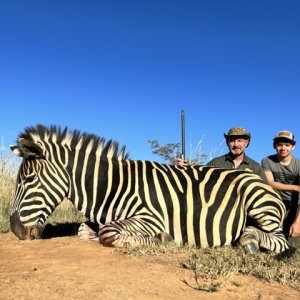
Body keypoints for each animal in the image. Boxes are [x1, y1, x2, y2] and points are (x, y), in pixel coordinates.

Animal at [9, 124, 290, 253]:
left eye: (28, 180)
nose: (14, 230)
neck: (112, 186)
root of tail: (261, 181)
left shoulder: (150, 218)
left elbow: (108, 234)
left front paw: (162, 238)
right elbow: (82, 230)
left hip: (259, 205)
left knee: (280, 240)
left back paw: (249, 239)